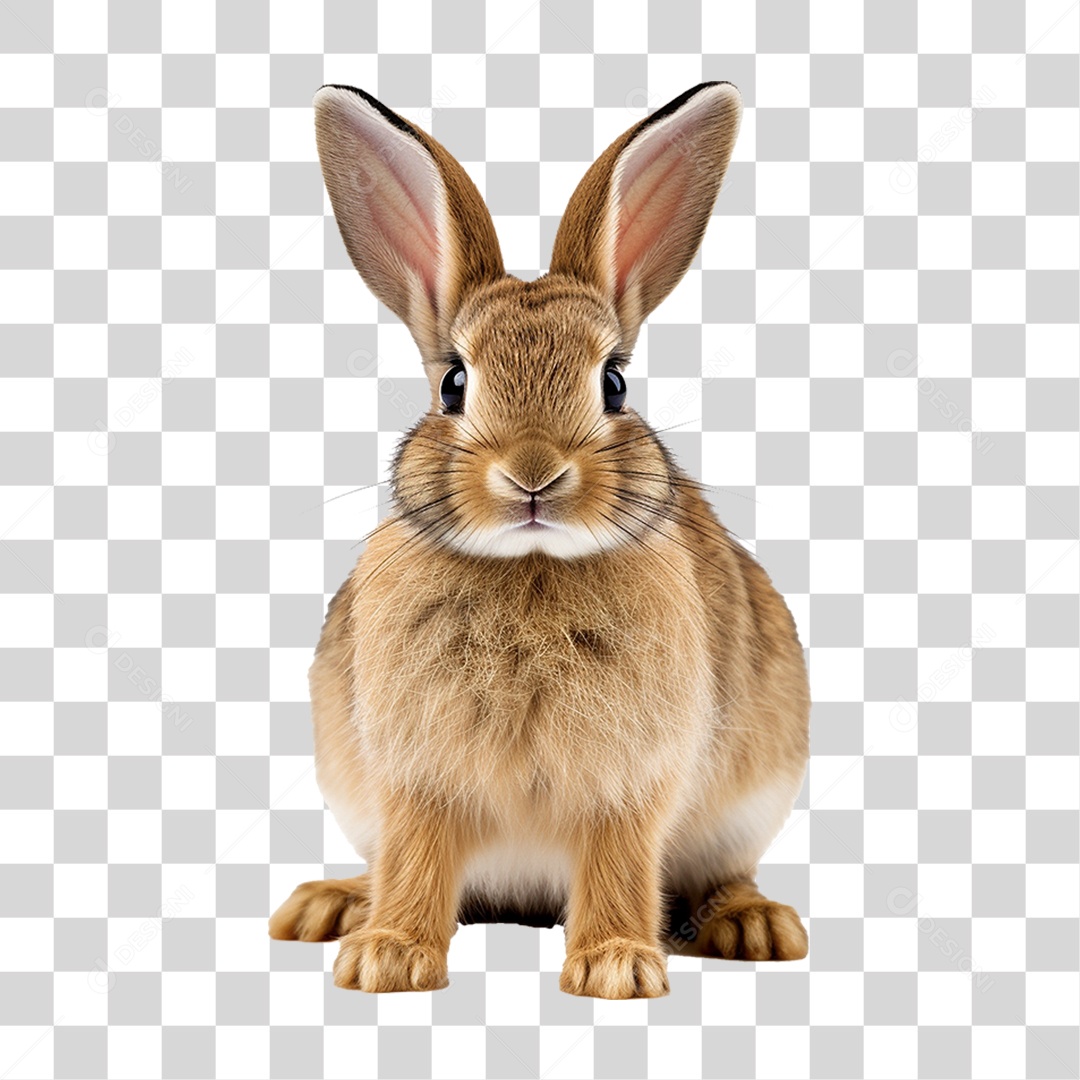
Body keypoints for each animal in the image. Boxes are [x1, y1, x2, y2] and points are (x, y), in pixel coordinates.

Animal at [269, 81, 810, 999]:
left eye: (615, 383)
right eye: (454, 385)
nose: (533, 473)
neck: (530, 566)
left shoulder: (628, 780)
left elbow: (620, 860)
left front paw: (617, 967)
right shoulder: (414, 775)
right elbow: (416, 857)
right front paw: (387, 958)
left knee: (723, 873)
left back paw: (756, 925)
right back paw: (330, 906)